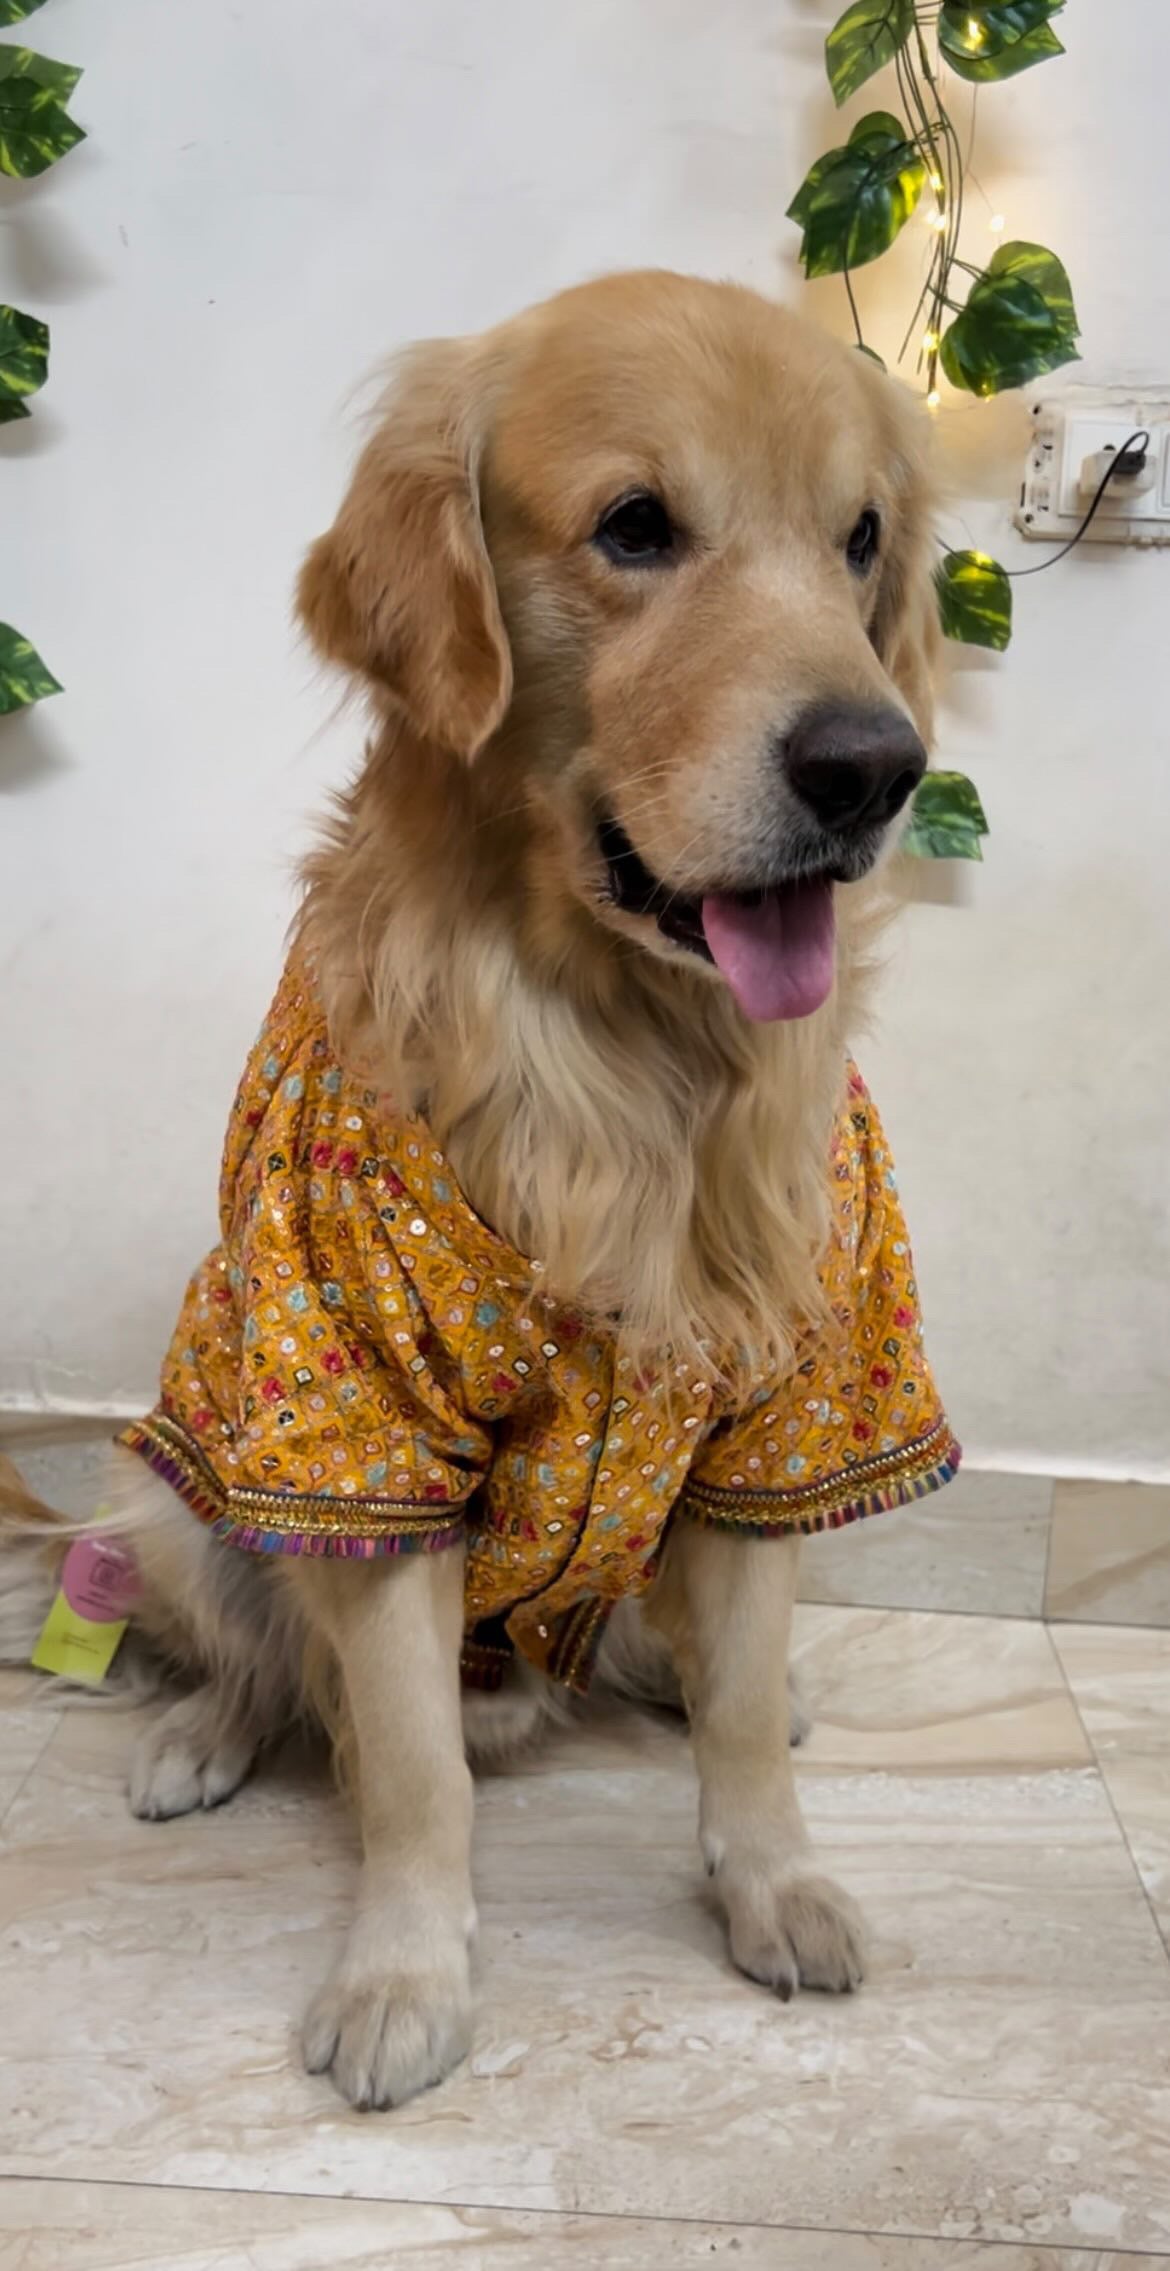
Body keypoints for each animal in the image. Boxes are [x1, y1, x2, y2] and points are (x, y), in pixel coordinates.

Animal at [0, 274, 954, 2116]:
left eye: (862, 539)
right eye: (635, 527)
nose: (875, 767)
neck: (625, 1058)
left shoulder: (787, 1401)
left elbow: (737, 1714)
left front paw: (774, 1876)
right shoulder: (366, 1431)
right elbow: (408, 1764)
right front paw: (400, 1977)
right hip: (168, 1478)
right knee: (265, 1658)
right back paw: (195, 1737)